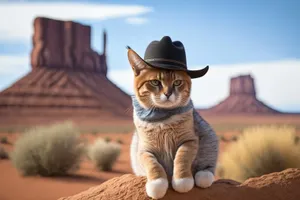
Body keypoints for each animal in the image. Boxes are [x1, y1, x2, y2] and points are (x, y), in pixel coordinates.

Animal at [128, 45, 218, 200]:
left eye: (177, 82)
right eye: (155, 82)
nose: (168, 93)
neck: (162, 120)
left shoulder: (189, 140)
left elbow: (182, 158)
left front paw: (182, 180)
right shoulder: (144, 149)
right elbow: (152, 164)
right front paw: (157, 184)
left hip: (209, 137)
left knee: (207, 164)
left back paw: (204, 175)